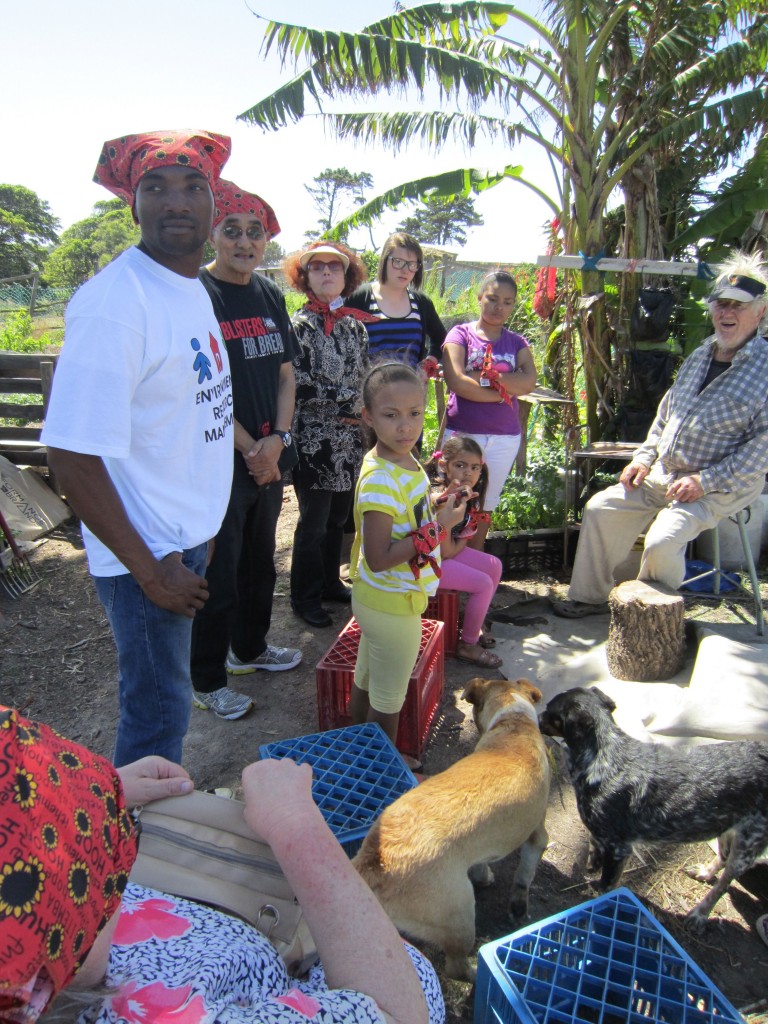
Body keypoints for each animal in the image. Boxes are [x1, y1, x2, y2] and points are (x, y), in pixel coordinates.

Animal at [352, 675, 548, 978]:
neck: (514, 723)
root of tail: (375, 859)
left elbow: (481, 862)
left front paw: (484, 876)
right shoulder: (537, 836)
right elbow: (524, 877)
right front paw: (518, 908)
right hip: (461, 915)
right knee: (456, 966)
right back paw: (477, 972)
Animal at [540, 688, 768, 921]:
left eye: (549, 709)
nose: (538, 716)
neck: (605, 757)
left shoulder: (619, 849)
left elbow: (606, 886)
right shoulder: (602, 835)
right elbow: (594, 846)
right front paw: (592, 865)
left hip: (747, 846)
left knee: (723, 883)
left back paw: (700, 913)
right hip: (727, 828)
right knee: (722, 858)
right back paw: (704, 872)